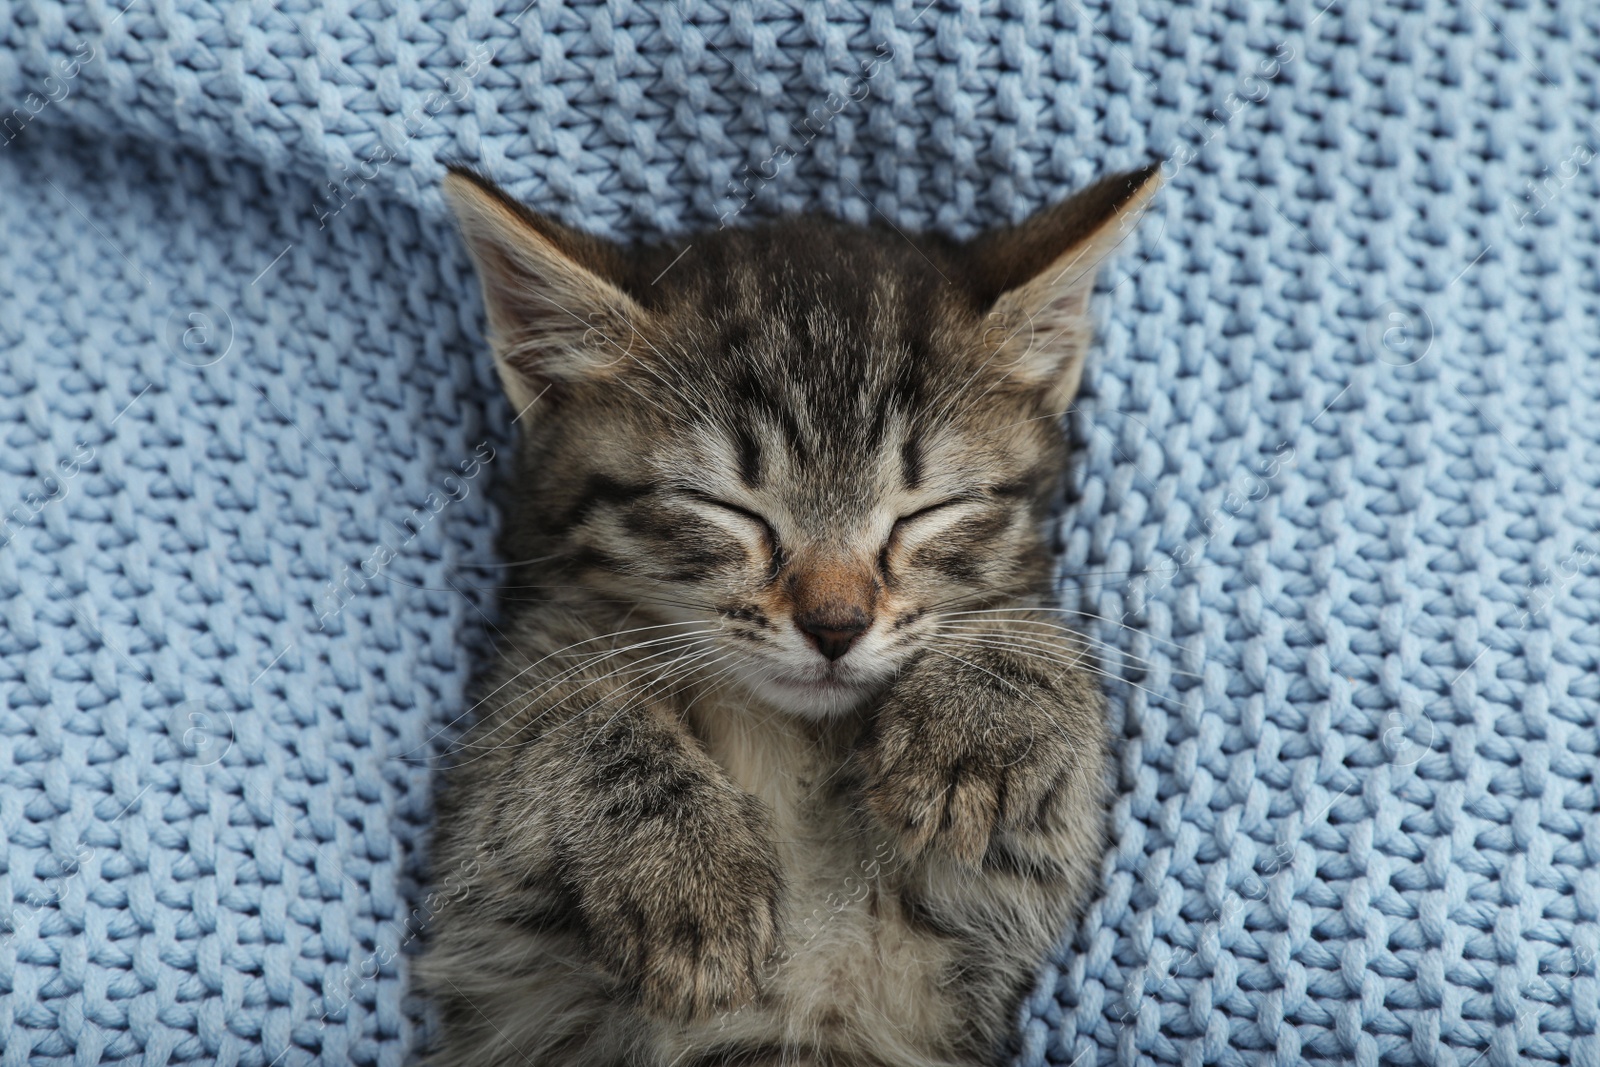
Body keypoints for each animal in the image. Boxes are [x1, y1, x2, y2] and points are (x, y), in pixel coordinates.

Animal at [419, 160, 1158, 1067]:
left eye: (926, 512)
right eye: (728, 509)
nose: (836, 625)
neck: (796, 735)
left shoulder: (1004, 912)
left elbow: (1040, 638)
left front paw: (980, 724)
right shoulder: (480, 892)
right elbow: (559, 715)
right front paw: (687, 874)